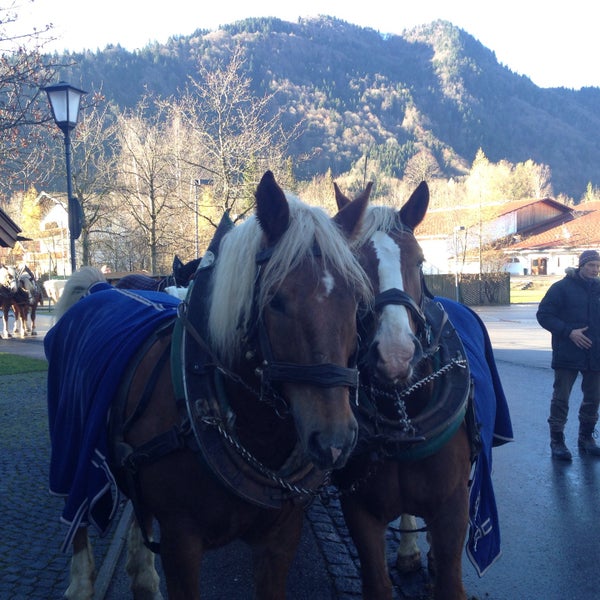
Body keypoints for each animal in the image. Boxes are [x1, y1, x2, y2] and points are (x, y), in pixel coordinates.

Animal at [47, 170, 372, 600]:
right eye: (276, 301)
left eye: (356, 302)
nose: (335, 440)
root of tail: (101, 289)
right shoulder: (180, 544)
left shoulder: (280, 539)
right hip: (72, 443)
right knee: (79, 511)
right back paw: (82, 582)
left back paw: (143, 573)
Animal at [332, 183, 510, 600]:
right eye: (351, 263)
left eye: (419, 261)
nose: (394, 356)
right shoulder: (358, 510)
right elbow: (377, 584)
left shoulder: (452, 511)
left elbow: (449, 580)